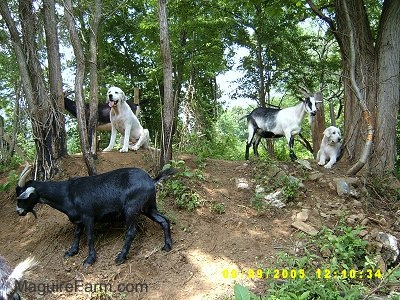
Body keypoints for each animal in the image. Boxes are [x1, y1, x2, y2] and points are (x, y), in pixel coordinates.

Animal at [15, 165, 175, 266]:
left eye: (21, 197)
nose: (18, 212)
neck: (67, 193)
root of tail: (151, 180)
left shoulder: (88, 216)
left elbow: (90, 237)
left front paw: (90, 259)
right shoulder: (79, 219)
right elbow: (77, 234)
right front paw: (71, 251)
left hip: (131, 208)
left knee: (131, 232)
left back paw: (121, 257)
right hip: (148, 207)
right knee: (164, 220)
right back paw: (167, 246)